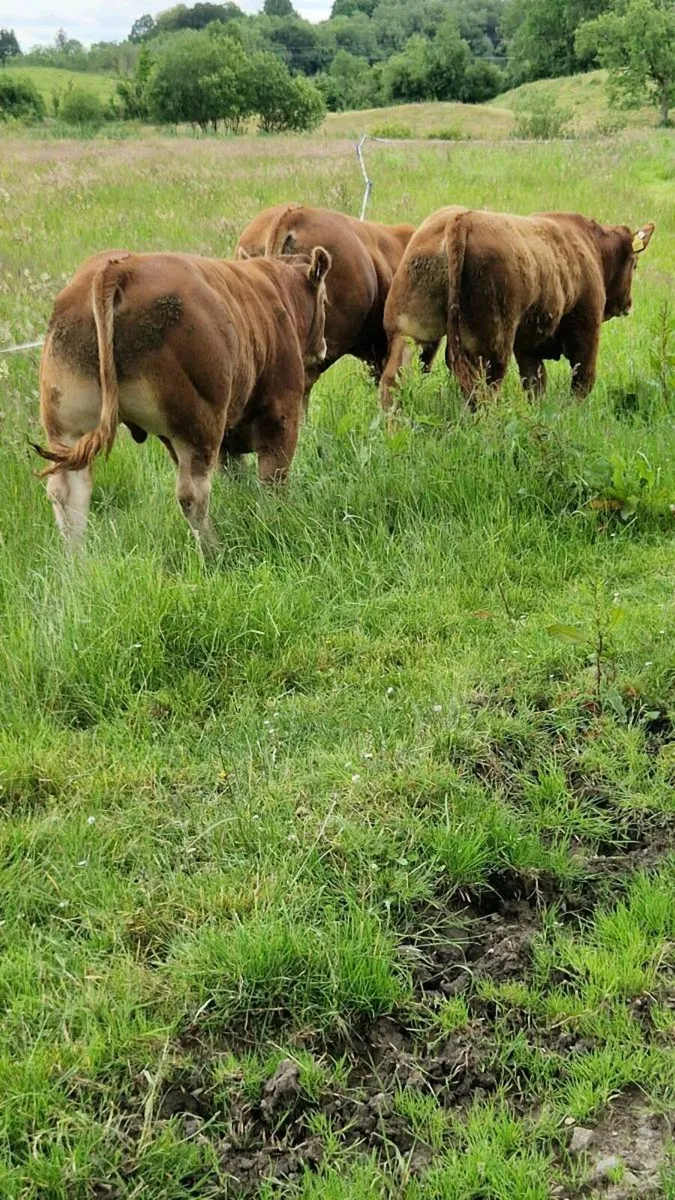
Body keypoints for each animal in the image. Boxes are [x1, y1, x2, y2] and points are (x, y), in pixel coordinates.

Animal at [32, 245, 331, 549]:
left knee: (66, 493)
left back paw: (77, 561)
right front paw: (277, 523)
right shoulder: (281, 414)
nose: (322, 347)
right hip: (197, 424)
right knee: (192, 495)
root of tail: (118, 268)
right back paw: (214, 551)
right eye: (325, 300)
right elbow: (273, 479)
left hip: (68, 427)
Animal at [380, 206, 655, 409]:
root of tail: (461, 219)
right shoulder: (586, 332)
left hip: (408, 332)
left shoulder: (527, 348)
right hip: (492, 346)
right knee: (485, 391)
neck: (590, 246)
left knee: (392, 381)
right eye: (634, 263)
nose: (627, 304)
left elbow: (535, 384)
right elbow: (582, 381)